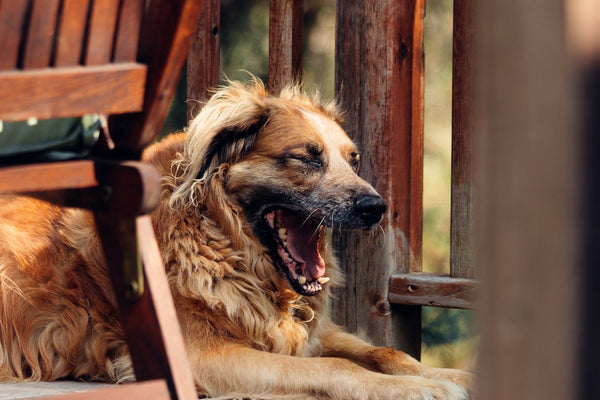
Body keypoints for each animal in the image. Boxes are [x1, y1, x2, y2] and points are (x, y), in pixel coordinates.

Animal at [0, 79, 474, 398]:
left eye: (353, 160)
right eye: (307, 158)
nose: (375, 208)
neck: (222, 242)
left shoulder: (309, 332)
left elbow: (386, 353)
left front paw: (455, 376)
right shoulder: (200, 356)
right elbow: (340, 366)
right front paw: (420, 389)